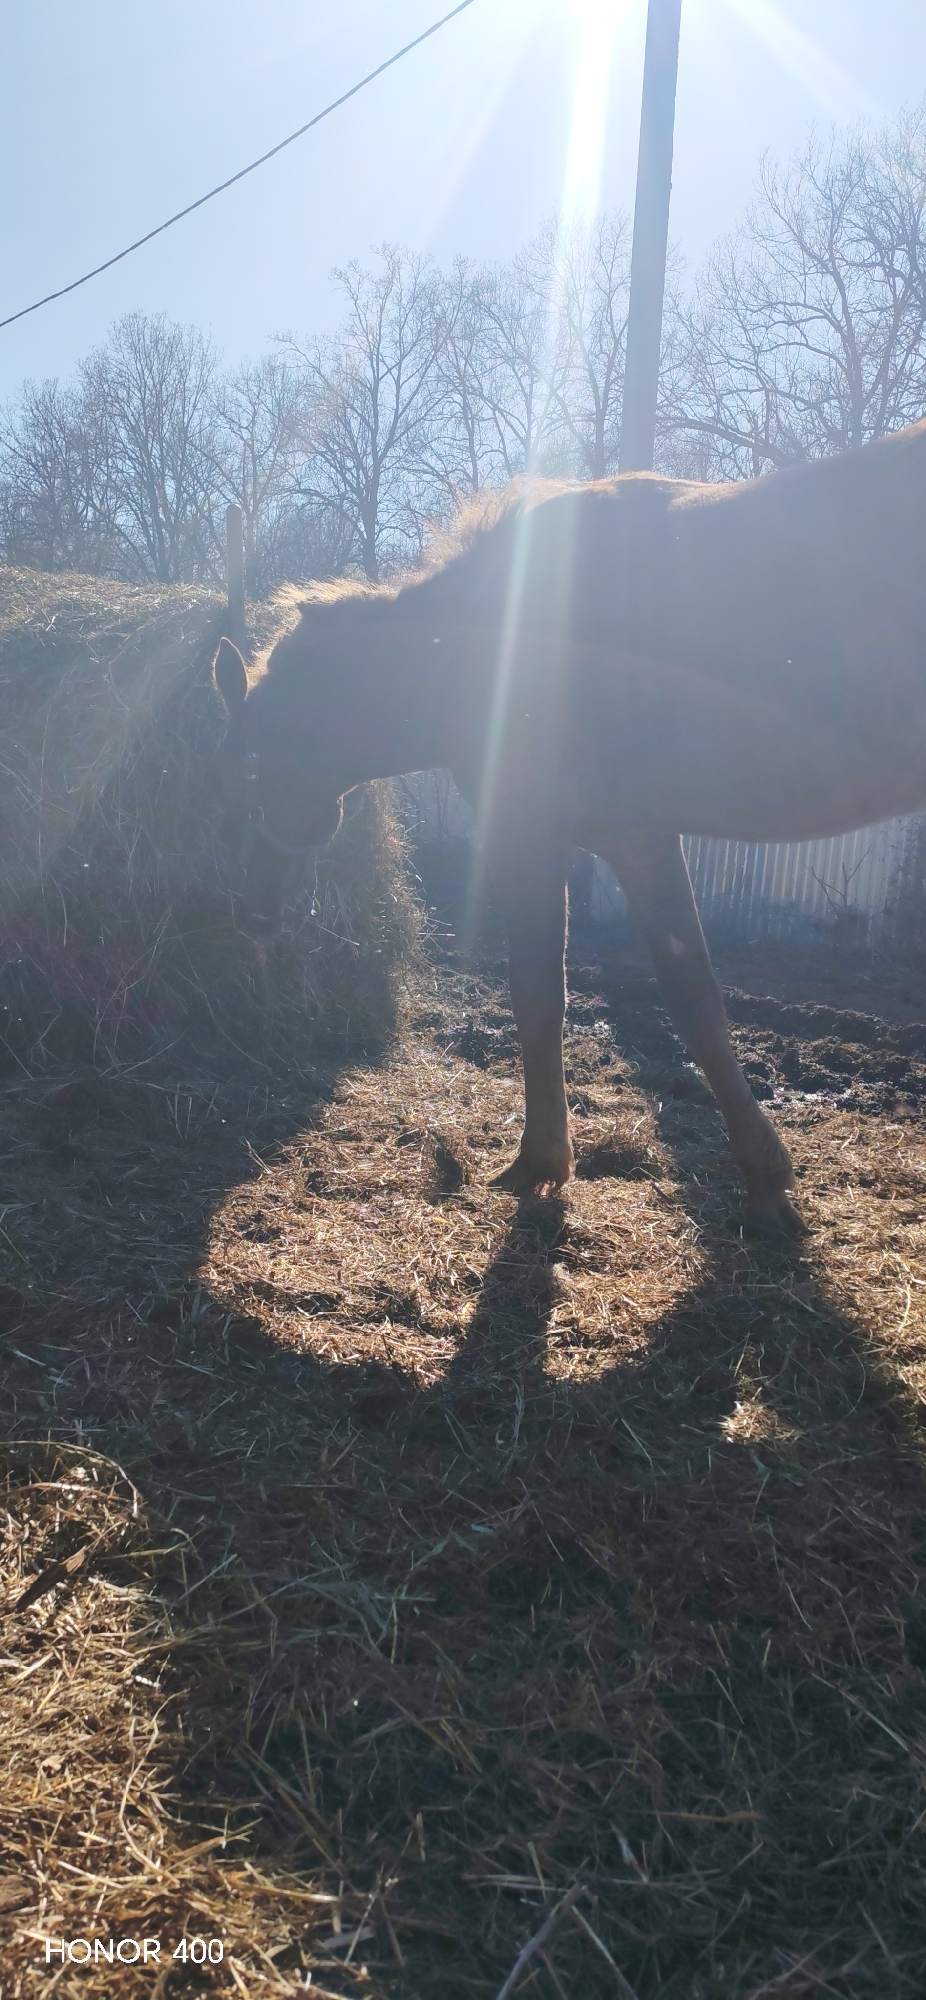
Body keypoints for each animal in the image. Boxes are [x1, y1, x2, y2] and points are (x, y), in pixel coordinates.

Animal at [210, 418, 926, 1234]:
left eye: (231, 782)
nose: (252, 916)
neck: (484, 643)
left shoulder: (549, 838)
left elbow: (548, 999)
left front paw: (543, 1162)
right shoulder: (637, 840)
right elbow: (689, 999)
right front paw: (761, 1169)